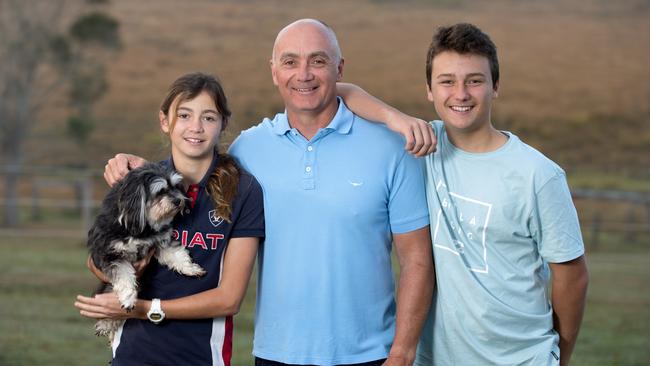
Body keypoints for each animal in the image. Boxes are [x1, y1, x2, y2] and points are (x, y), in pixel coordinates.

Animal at [88, 163, 204, 340]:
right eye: (160, 191)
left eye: (175, 186)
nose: (179, 200)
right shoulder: (110, 253)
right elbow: (124, 274)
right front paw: (128, 298)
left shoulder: (160, 242)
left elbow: (177, 255)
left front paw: (191, 268)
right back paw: (106, 323)